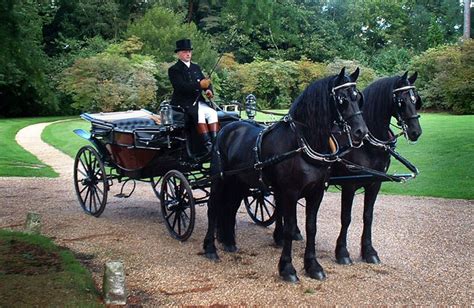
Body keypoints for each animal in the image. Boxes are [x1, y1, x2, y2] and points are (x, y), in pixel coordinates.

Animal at [202, 67, 368, 282]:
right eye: (342, 99)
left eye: (357, 97)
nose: (361, 132)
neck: (302, 143)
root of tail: (227, 128)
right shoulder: (290, 192)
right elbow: (289, 228)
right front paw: (287, 268)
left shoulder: (316, 193)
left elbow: (311, 227)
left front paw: (313, 266)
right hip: (220, 180)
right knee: (213, 208)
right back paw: (210, 248)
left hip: (239, 182)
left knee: (230, 207)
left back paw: (229, 241)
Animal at [330, 71, 422, 264]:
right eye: (401, 101)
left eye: (415, 99)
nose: (416, 131)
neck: (367, 144)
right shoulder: (349, 185)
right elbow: (346, 217)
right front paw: (342, 252)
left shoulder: (375, 183)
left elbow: (368, 216)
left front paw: (369, 251)